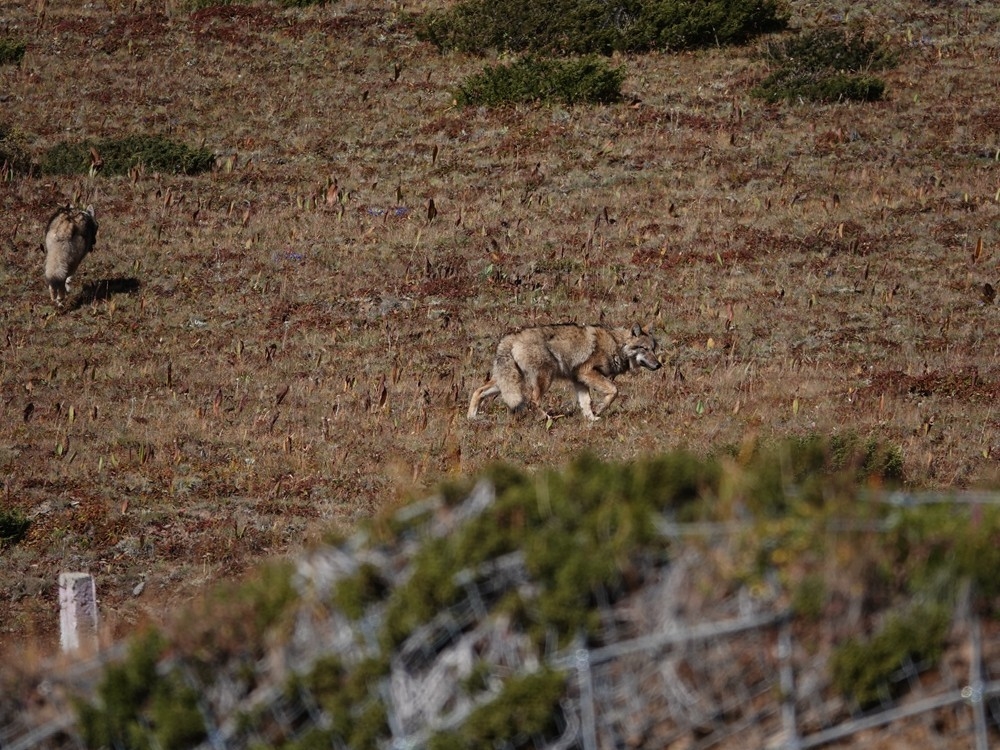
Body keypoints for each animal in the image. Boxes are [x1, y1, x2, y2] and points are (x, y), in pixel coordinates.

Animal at [468, 324, 664, 424]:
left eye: (654, 349)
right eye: (645, 349)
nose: (659, 365)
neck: (616, 344)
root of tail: (512, 337)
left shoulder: (579, 380)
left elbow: (586, 402)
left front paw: (592, 418)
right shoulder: (587, 373)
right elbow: (614, 391)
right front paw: (600, 408)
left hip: (507, 384)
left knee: (478, 391)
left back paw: (471, 417)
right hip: (543, 380)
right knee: (533, 401)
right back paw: (548, 419)